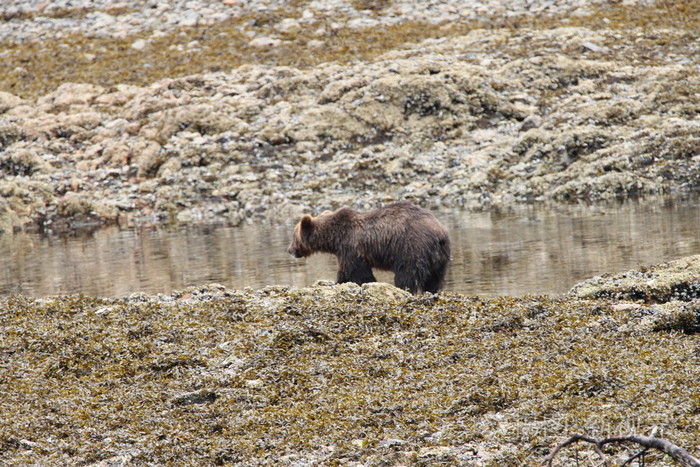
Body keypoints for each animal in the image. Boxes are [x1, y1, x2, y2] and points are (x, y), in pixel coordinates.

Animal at [287, 201, 451, 294]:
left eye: (294, 236)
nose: (289, 250)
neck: (335, 238)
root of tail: (439, 233)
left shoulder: (351, 247)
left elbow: (355, 272)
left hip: (412, 247)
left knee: (407, 274)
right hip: (440, 258)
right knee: (435, 278)